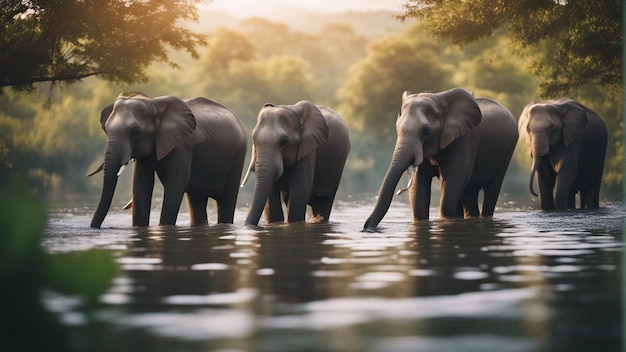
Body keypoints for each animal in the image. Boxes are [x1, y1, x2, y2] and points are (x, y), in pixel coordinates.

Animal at [89, 92, 245, 228]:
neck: (153, 104)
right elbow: (140, 185)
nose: (96, 227)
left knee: (227, 200)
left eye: (135, 132)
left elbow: (175, 184)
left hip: (238, 157)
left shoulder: (182, 146)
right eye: (106, 130)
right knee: (197, 200)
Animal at [360, 88, 516, 231]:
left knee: (490, 190)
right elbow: (419, 189)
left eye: (426, 131)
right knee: (469, 193)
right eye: (397, 130)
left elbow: (453, 181)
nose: (366, 228)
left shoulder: (465, 140)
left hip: (508, 150)